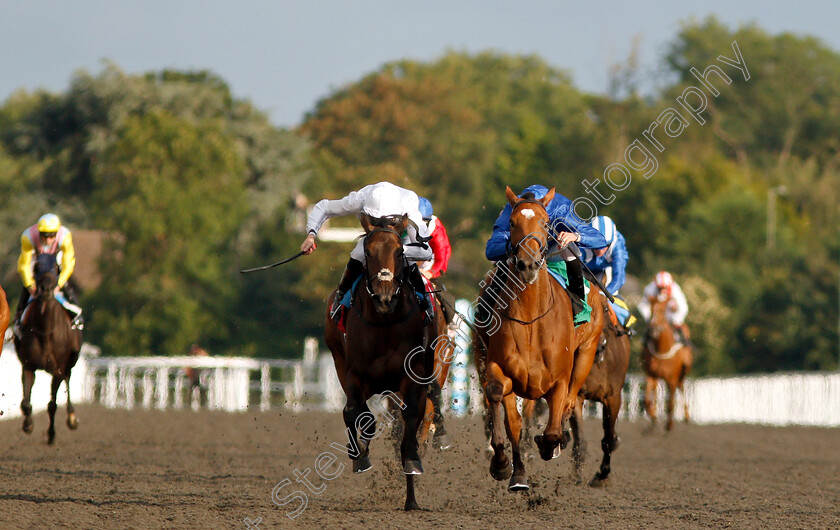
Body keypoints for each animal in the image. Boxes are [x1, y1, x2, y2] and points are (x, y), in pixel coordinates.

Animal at [12, 254, 82, 444]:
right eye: (35, 267)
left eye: (58, 268)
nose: (46, 289)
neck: (44, 332)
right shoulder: (28, 365)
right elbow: (25, 403)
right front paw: (28, 425)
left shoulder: (57, 370)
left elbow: (52, 405)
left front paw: (51, 434)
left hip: (70, 362)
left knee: (68, 380)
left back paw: (72, 418)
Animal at [322, 212, 440, 510]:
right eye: (368, 252)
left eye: (399, 252)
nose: (384, 297)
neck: (385, 323)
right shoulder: (354, 375)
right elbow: (356, 412)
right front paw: (360, 455)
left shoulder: (413, 377)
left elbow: (410, 421)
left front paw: (412, 463)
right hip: (339, 361)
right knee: (351, 411)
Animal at [472, 187, 604, 490]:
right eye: (512, 223)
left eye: (545, 223)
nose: (527, 264)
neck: (532, 319)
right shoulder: (502, 369)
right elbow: (505, 410)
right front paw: (504, 465)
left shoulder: (559, 379)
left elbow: (554, 425)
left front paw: (550, 444)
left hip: (586, 353)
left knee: (569, 403)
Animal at [644, 292, 696, 428]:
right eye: (651, 309)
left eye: (662, 310)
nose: (654, 329)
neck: (662, 349)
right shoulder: (651, 374)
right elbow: (647, 399)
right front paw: (653, 416)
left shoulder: (671, 378)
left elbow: (670, 402)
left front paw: (669, 424)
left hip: (681, 374)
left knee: (681, 387)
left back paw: (686, 416)